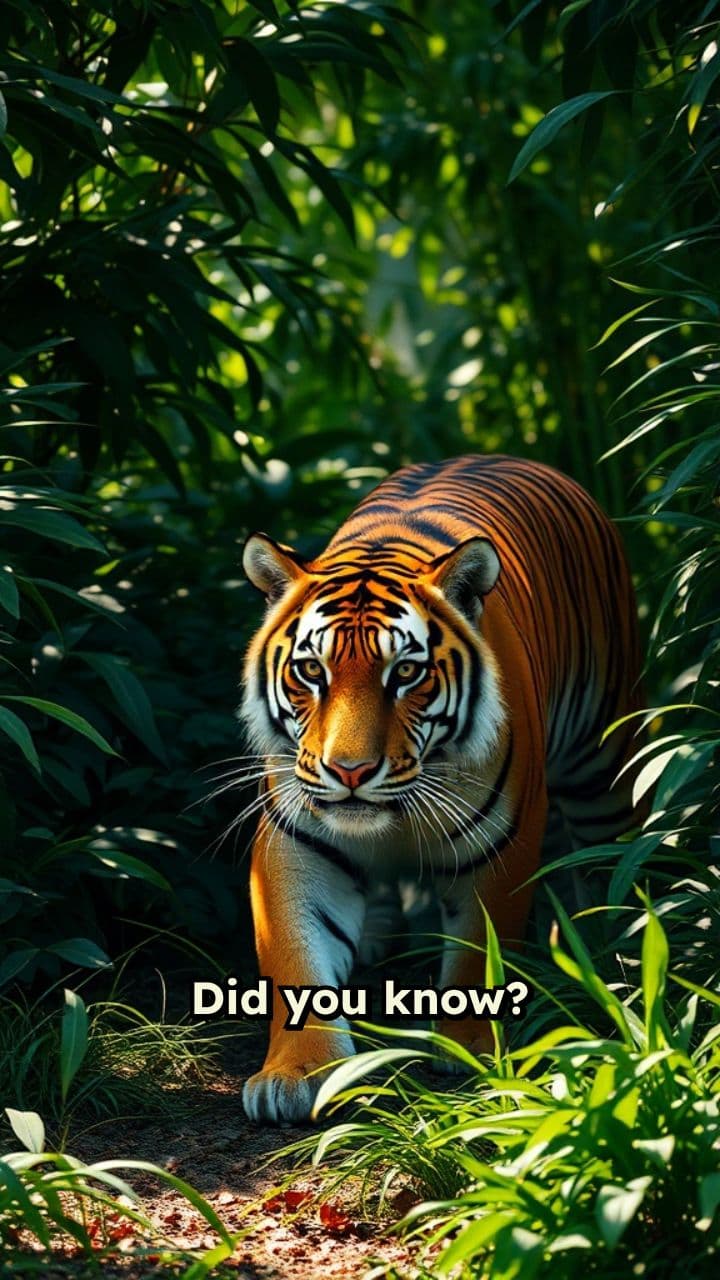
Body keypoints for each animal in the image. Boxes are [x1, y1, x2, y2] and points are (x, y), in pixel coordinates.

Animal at [239, 454, 644, 1123]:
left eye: (406, 672)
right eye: (311, 671)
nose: (349, 771)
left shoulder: (503, 841)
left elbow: (480, 950)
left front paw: (468, 1050)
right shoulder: (297, 842)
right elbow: (296, 954)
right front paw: (298, 1074)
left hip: (603, 760)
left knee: (618, 851)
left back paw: (621, 946)